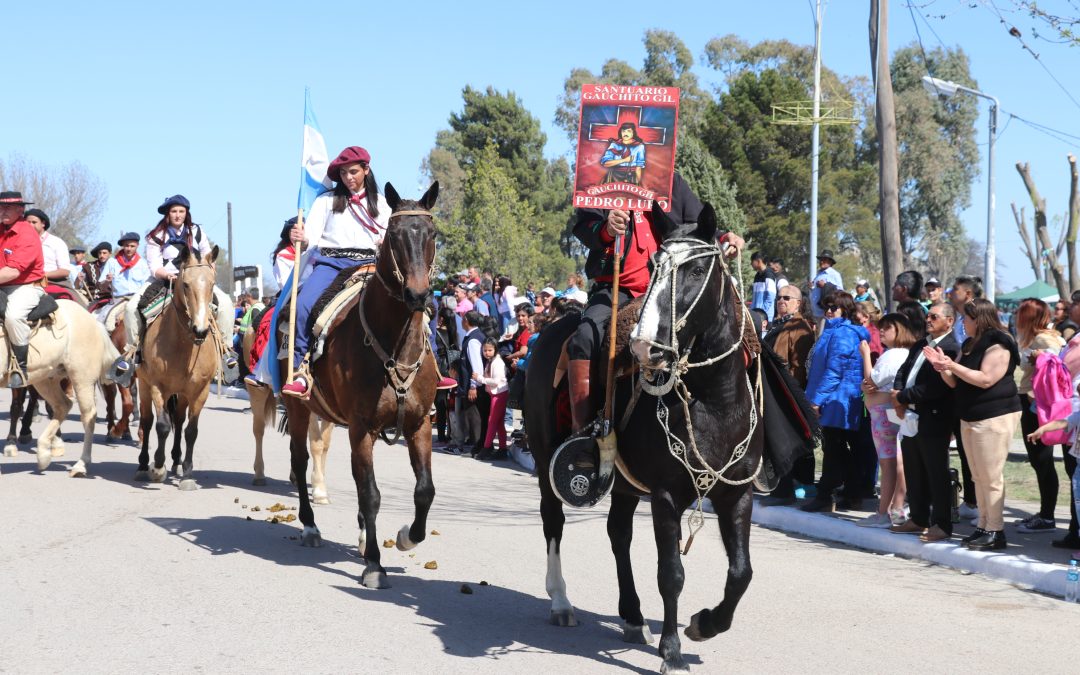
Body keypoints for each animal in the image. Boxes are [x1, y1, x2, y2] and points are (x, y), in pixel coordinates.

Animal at [0, 299, 120, 476]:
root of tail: (92, 319)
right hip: (44, 379)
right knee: (62, 405)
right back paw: (44, 453)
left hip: (81, 379)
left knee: (88, 416)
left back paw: (81, 464)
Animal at [135, 245, 233, 489]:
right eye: (186, 284)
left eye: (212, 283)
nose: (201, 329)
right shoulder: (157, 386)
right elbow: (161, 426)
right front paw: (157, 467)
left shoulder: (199, 391)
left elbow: (191, 431)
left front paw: (187, 473)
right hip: (143, 385)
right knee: (147, 421)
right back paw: (143, 465)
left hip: (182, 393)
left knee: (179, 422)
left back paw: (176, 461)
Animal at [281, 181, 439, 589]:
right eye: (394, 235)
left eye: (432, 234)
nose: (418, 295)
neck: (395, 343)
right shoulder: (361, 427)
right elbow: (370, 494)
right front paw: (374, 565)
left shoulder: (420, 424)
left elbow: (424, 491)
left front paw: (405, 538)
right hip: (299, 408)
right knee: (300, 462)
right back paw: (310, 527)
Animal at [524, 203, 767, 675]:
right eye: (655, 265)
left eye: (696, 269)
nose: (645, 347)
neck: (714, 400)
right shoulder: (666, 494)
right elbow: (671, 573)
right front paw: (672, 651)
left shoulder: (737, 493)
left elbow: (742, 573)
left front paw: (703, 625)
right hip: (547, 462)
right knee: (553, 521)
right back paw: (561, 601)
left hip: (624, 484)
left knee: (618, 534)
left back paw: (634, 617)